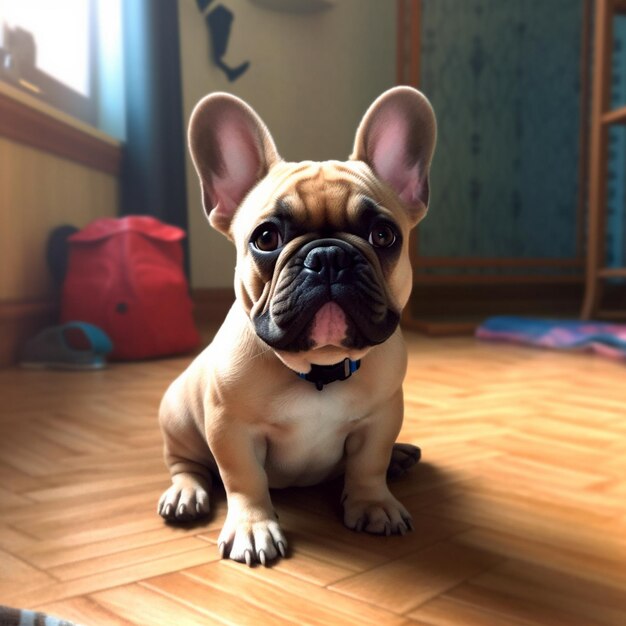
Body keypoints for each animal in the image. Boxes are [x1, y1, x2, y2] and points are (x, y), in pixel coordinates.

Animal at [158, 85, 436, 564]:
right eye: (266, 238)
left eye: (384, 235)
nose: (328, 256)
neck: (318, 368)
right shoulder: (230, 429)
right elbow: (243, 479)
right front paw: (253, 527)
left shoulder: (381, 417)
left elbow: (369, 465)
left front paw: (373, 503)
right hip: (177, 416)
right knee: (187, 464)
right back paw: (185, 493)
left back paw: (400, 457)